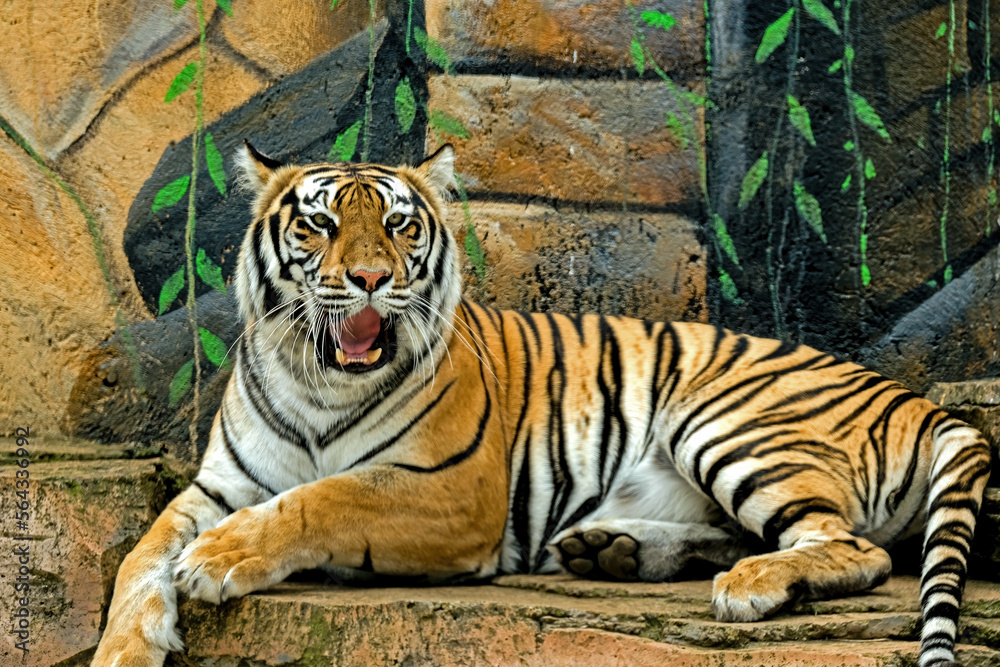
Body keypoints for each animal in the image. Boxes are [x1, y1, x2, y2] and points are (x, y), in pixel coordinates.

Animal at [92, 142, 991, 667]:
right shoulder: (219, 485)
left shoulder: (453, 489)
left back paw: (750, 584)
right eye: (317, 224)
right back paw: (614, 549)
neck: (320, 381)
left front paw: (215, 559)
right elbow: (140, 554)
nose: (371, 279)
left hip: (724, 419)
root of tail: (917, 399)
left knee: (855, 548)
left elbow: (326, 495)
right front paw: (126, 646)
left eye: (399, 225)